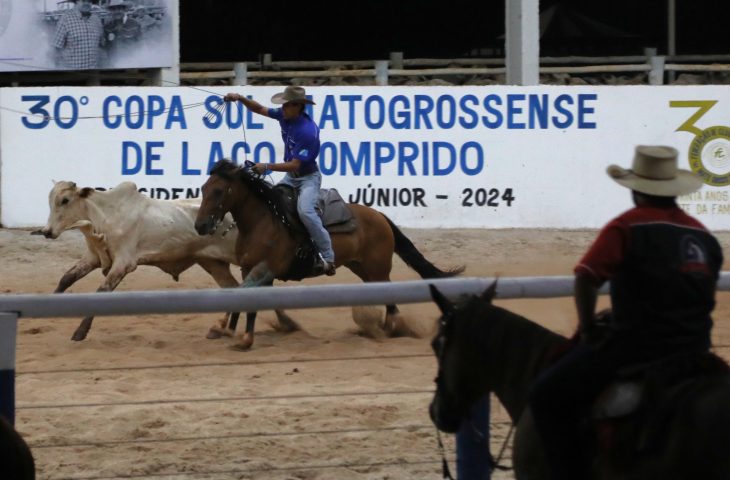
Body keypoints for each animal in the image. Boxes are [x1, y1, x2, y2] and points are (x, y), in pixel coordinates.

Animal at [39, 180, 294, 342]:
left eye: (64, 200)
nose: (47, 232)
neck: (106, 215)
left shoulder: (124, 263)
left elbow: (101, 293)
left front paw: (80, 332)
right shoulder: (92, 258)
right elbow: (67, 278)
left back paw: (286, 323)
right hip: (213, 263)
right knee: (235, 289)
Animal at [193, 159, 460, 350]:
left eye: (218, 191)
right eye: (204, 188)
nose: (200, 226)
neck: (263, 222)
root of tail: (379, 216)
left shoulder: (264, 270)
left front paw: (240, 336)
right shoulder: (250, 269)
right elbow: (243, 298)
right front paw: (229, 328)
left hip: (378, 269)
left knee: (391, 300)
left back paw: (390, 329)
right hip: (362, 269)